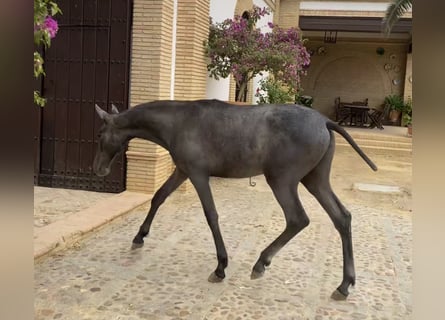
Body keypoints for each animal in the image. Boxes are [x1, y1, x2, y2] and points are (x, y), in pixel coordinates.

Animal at [94, 100, 378, 300]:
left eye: (100, 133)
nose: (99, 169)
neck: (179, 122)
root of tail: (326, 122)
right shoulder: (182, 172)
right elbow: (158, 197)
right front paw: (139, 236)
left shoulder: (197, 175)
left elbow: (211, 215)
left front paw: (221, 266)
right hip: (315, 180)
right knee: (341, 218)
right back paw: (344, 284)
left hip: (282, 180)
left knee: (297, 219)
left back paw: (261, 263)